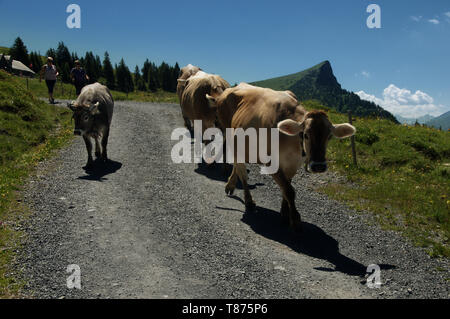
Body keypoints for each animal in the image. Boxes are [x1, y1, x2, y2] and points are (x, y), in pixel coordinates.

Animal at [206, 84, 356, 231]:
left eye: (329, 136)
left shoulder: (293, 164)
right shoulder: (270, 162)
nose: (319, 166)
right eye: (306, 135)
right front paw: (295, 219)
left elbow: (286, 187)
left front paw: (285, 212)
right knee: (242, 171)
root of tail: (227, 91)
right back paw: (248, 200)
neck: (291, 143)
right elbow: (289, 190)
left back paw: (230, 185)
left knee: (237, 166)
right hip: (230, 136)